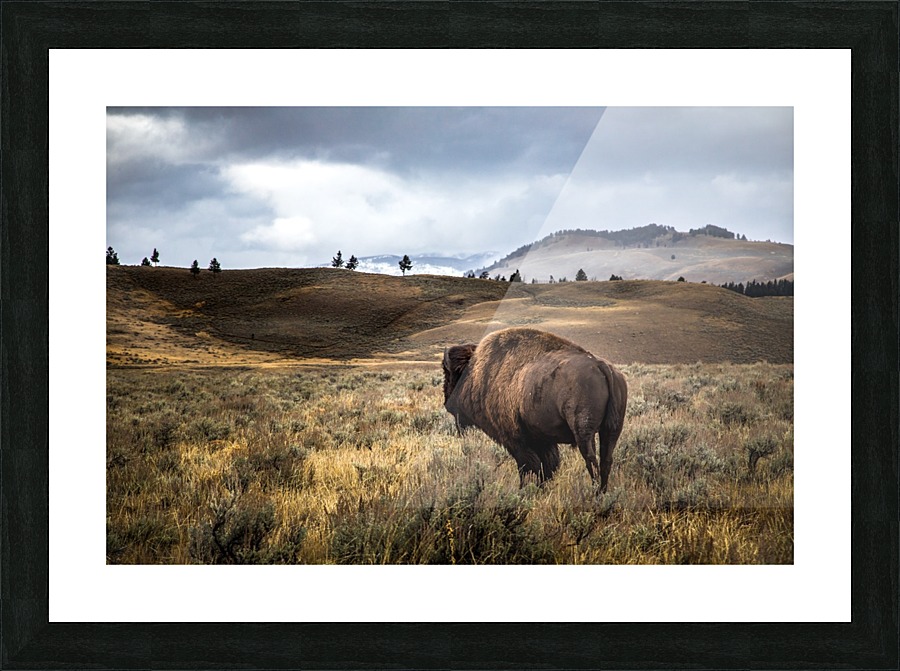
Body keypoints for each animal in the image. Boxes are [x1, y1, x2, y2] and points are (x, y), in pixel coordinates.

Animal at [442, 327, 628, 491]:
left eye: (450, 374)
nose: (447, 402)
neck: (477, 373)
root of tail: (601, 365)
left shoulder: (515, 439)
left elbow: (528, 466)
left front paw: (524, 491)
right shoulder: (543, 440)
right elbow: (547, 466)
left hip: (584, 432)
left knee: (591, 460)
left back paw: (595, 492)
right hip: (611, 429)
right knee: (605, 460)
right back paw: (601, 492)